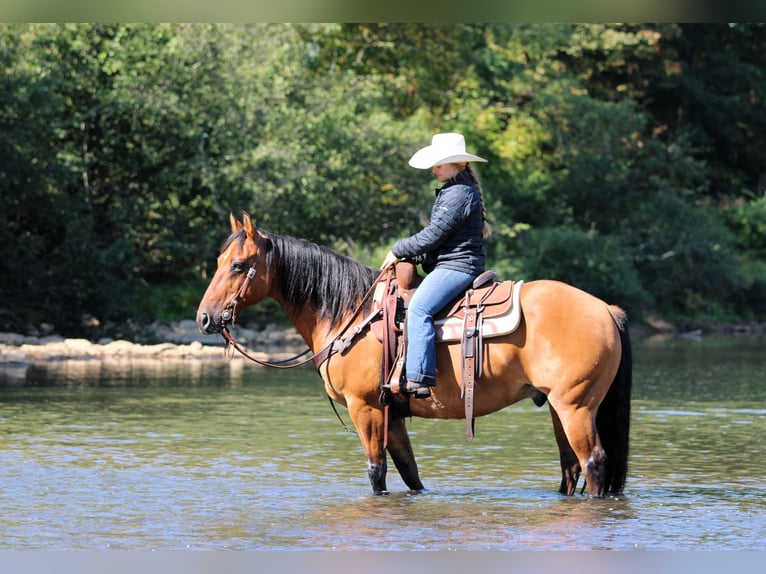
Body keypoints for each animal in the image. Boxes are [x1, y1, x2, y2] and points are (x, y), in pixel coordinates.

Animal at [196, 212, 632, 498]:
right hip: (560, 407)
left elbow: (377, 473)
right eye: (218, 262)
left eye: (239, 265)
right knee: (570, 468)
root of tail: (606, 309)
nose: (205, 318)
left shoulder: (366, 408)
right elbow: (410, 473)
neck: (348, 311)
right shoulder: (391, 413)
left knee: (594, 463)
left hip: (576, 407)